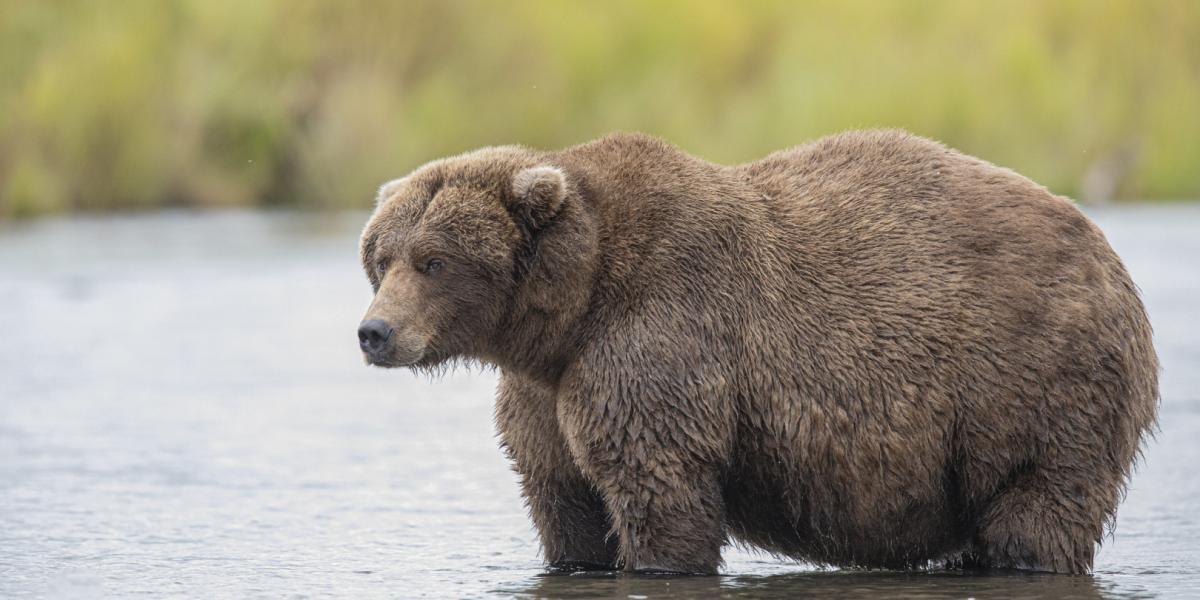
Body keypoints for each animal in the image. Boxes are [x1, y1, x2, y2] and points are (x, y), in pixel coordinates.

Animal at [357, 130, 1161, 571]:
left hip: (1034, 377)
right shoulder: (544, 392)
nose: (374, 333)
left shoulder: (657, 342)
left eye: (433, 261)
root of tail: (1109, 254)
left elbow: (659, 487)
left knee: (1037, 506)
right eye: (381, 256)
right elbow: (564, 501)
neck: (568, 315)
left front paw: (661, 557)